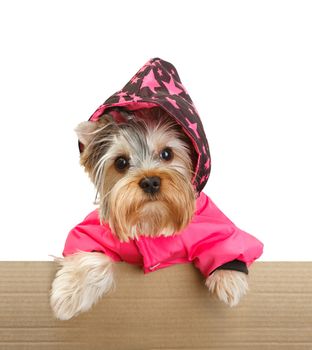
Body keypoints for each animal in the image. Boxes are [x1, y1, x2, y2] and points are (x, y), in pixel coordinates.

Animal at [50, 107, 247, 320]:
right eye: (121, 162)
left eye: (167, 153)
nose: (150, 182)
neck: (152, 220)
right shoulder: (94, 230)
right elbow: (88, 250)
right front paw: (69, 294)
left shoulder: (209, 218)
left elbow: (224, 240)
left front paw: (229, 278)